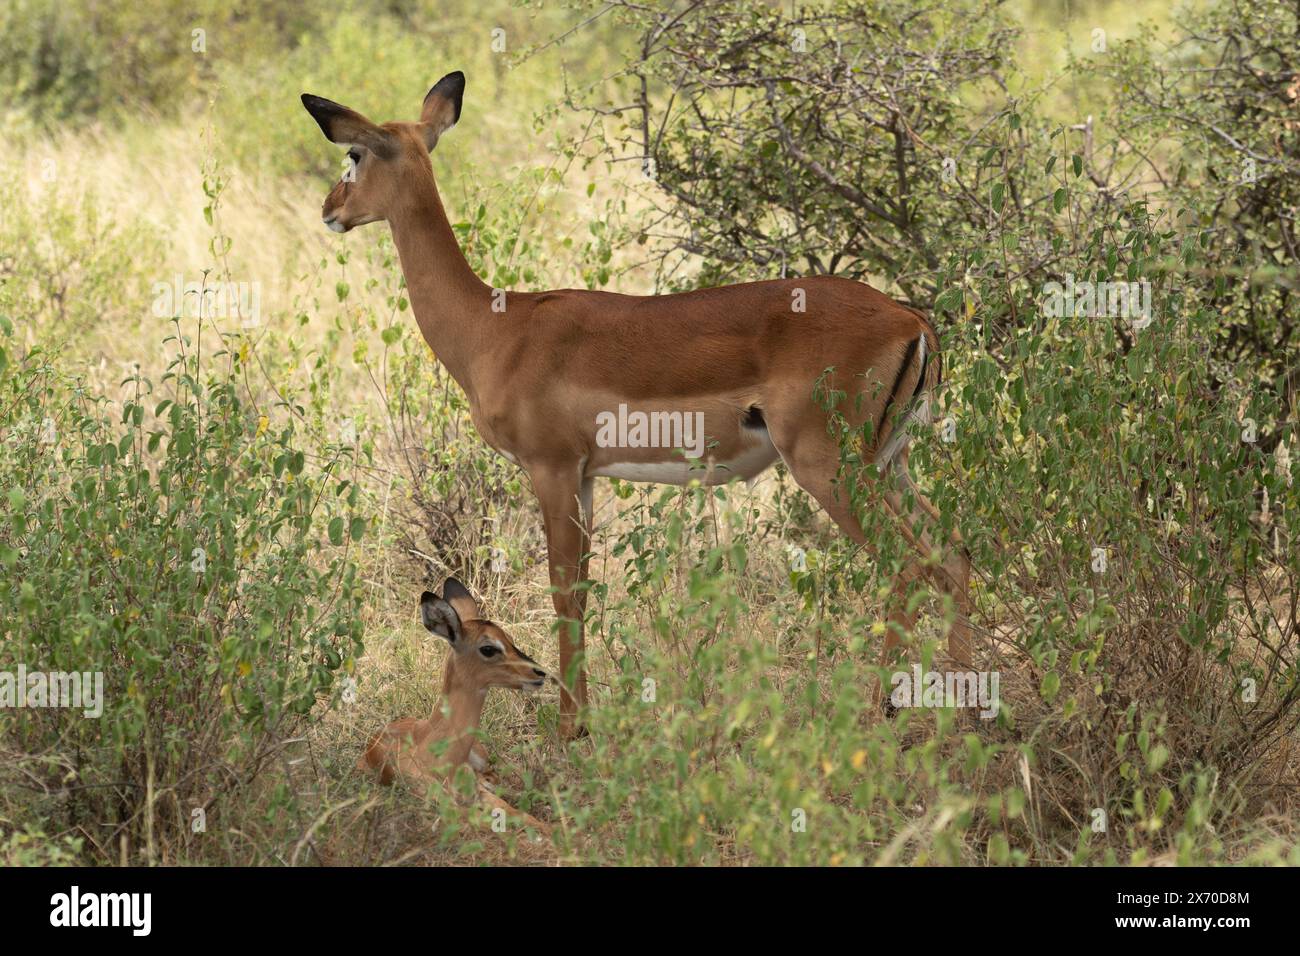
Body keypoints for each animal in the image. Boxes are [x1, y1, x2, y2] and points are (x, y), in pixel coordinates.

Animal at [304, 70, 972, 738]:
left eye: (354, 154)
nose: (330, 209)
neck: (496, 328)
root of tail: (912, 321)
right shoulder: (586, 475)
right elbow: (582, 587)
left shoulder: (550, 467)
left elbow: (562, 591)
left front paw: (571, 728)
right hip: (888, 464)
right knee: (953, 553)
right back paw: (966, 704)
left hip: (830, 469)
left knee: (908, 565)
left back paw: (881, 710)